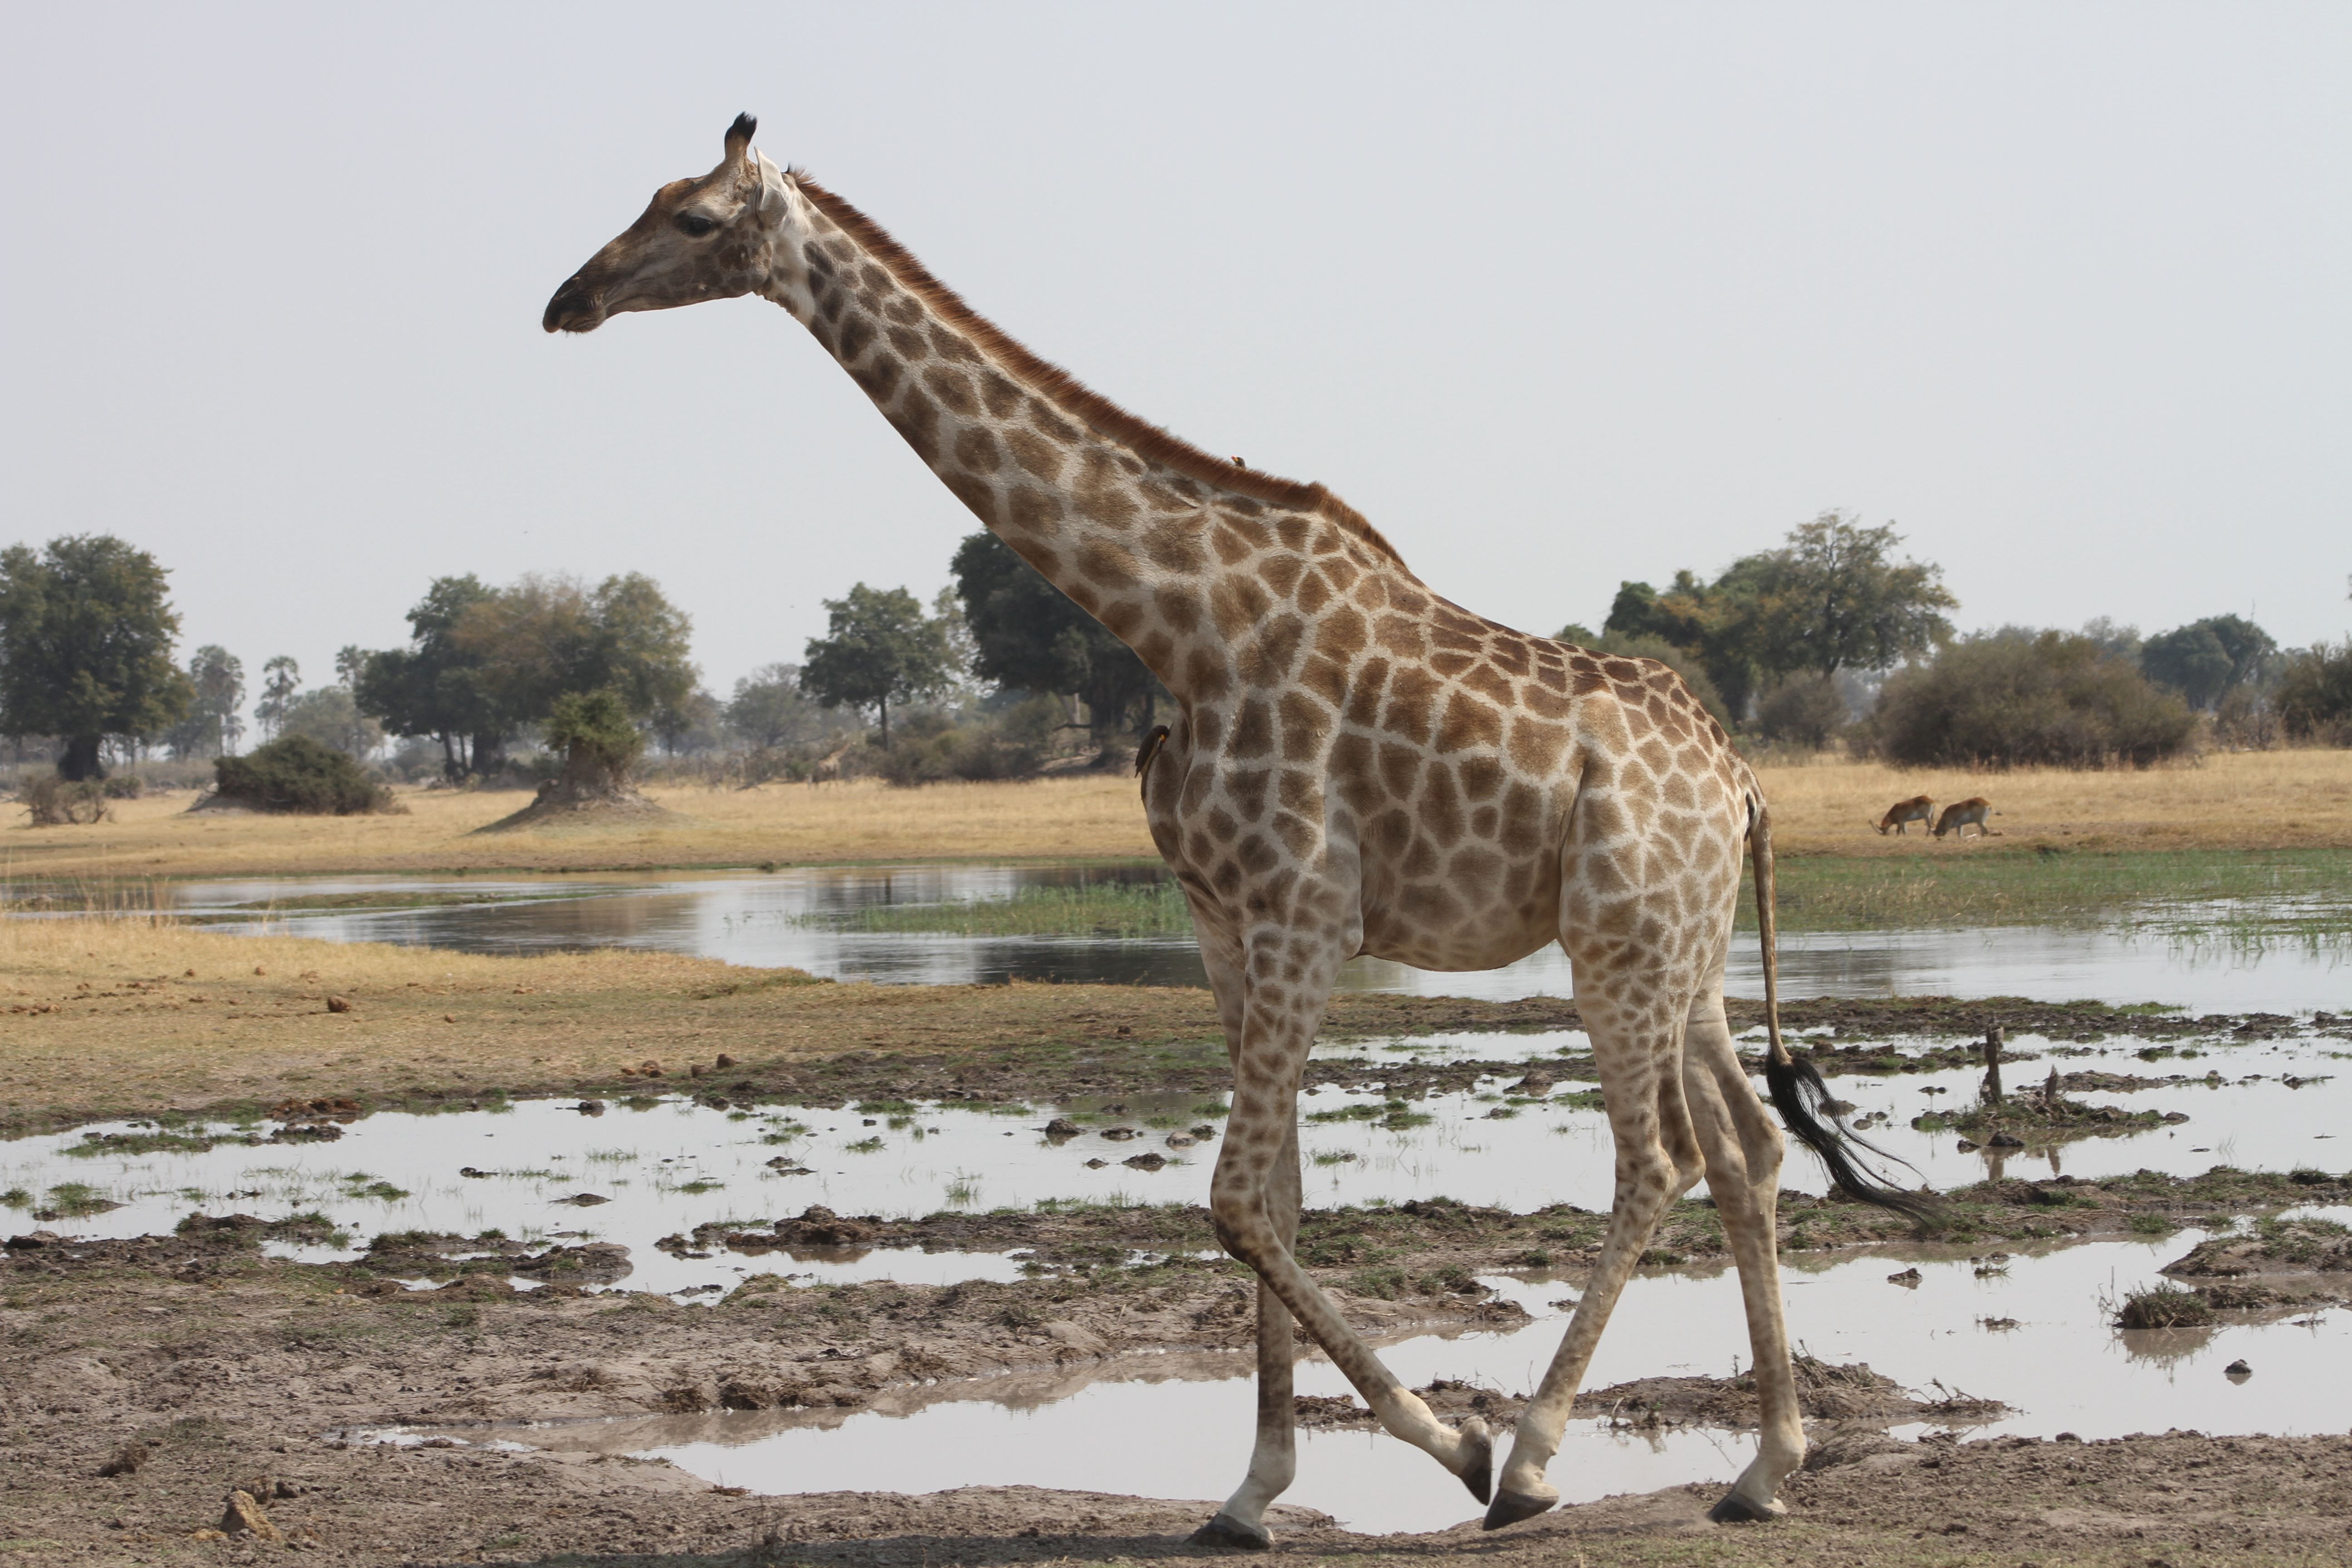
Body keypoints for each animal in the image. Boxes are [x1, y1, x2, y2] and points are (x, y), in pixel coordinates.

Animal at [544, 115, 1928, 1543]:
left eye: (696, 220)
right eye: (652, 196)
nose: (568, 300)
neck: (1180, 624)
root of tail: (1744, 782)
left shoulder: (1306, 917)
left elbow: (1226, 1197)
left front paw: (1450, 1440)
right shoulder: (1224, 921)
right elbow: (1279, 1198)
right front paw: (1252, 1491)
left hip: (1617, 945)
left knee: (1656, 1159)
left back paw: (1534, 1460)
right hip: (1683, 954)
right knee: (1749, 1149)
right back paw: (1765, 1467)